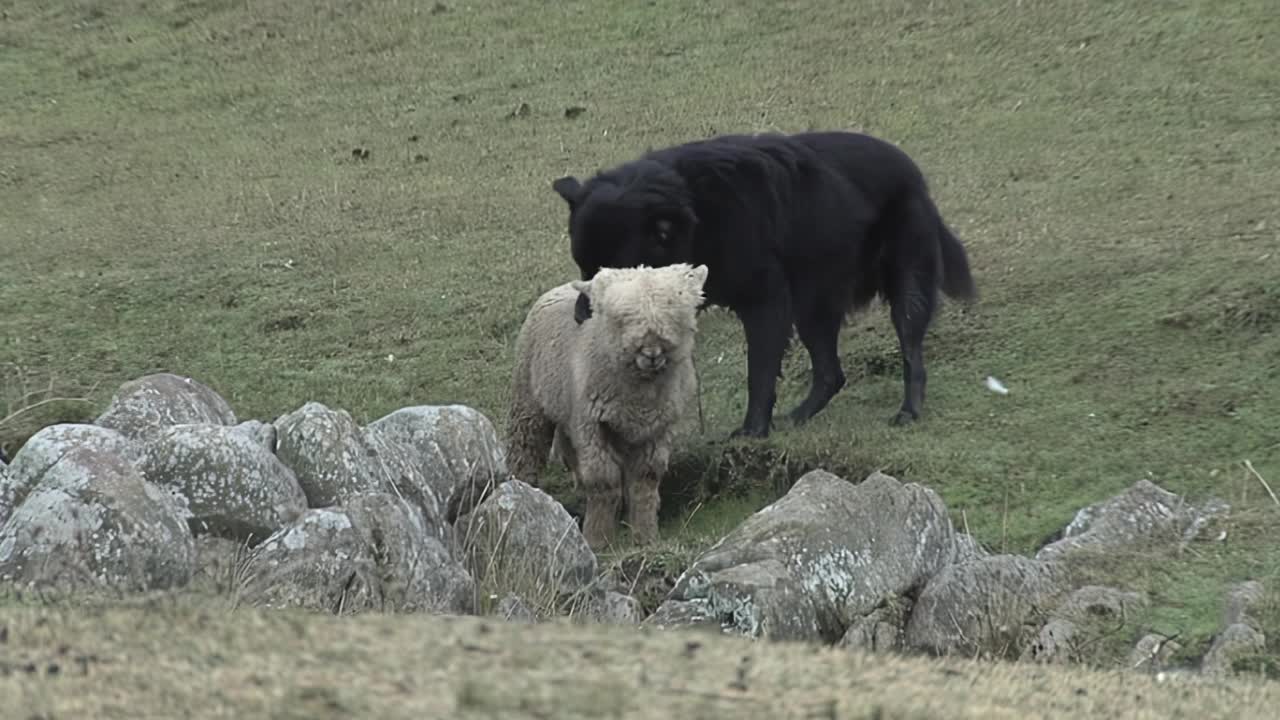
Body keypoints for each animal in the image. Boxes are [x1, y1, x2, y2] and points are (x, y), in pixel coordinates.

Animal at [501, 260, 711, 545]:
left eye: (676, 316)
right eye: (620, 320)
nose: (652, 353)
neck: (639, 392)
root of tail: (560, 287)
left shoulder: (657, 428)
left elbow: (645, 481)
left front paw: (645, 536)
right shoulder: (592, 424)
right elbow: (603, 482)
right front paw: (598, 539)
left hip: (572, 412)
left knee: (569, 448)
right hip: (530, 401)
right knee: (526, 452)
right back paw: (523, 491)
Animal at [552, 128, 977, 438]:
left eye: (613, 273)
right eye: (583, 268)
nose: (580, 318)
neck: (700, 213)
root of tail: (911, 171)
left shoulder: (766, 304)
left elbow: (759, 373)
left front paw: (753, 432)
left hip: (905, 290)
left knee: (910, 354)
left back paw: (909, 410)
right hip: (813, 307)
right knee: (831, 374)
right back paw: (799, 417)